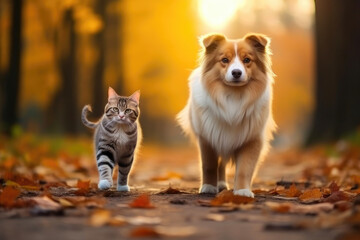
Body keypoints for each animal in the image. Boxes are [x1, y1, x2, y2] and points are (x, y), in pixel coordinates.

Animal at [177, 32, 276, 198]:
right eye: (224, 60)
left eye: (247, 60)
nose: (236, 72)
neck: (233, 95)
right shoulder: (208, 137)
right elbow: (209, 165)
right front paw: (208, 186)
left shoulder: (252, 138)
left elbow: (244, 168)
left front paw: (242, 191)